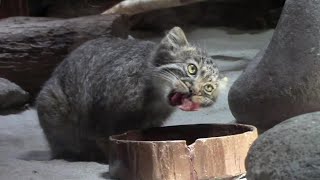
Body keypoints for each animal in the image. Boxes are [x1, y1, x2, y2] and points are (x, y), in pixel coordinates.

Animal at [35, 26, 220, 162]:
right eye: (191, 69)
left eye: (208, 87)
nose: (193, 90)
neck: (153, 98)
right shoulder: (100, 113)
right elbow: (105, 139)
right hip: (51, 101)